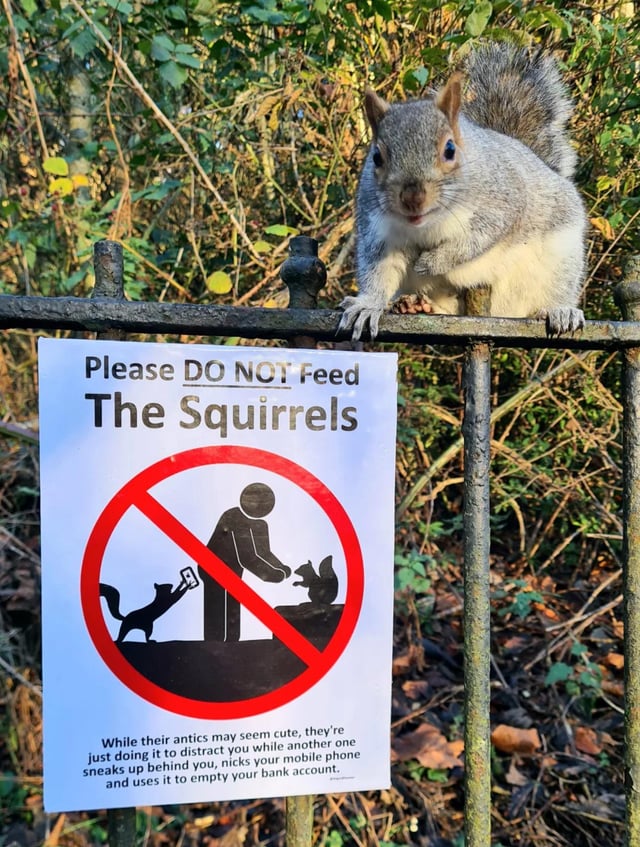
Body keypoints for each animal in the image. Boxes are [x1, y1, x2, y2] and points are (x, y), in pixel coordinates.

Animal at [339, 43, 588, 340]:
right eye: (376, 157)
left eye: (449, 149)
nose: (412, 199)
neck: (428, 224)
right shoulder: (377, 228)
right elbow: (377, 271)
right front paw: (367, 305)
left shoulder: (504, 203)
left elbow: (477, 240)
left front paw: (432, 261)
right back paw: (418, 306)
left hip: (560, 257)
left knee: (557, 289)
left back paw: (560, 311)